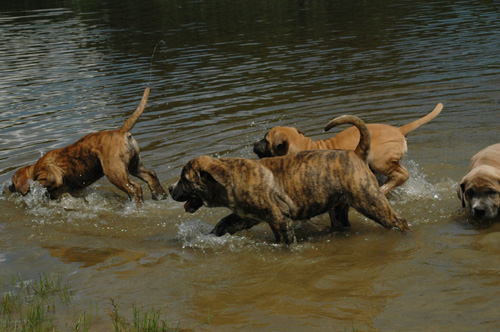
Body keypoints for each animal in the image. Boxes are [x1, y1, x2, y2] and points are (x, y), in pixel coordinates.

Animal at [9, 87, 168, 204]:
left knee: (134, 188)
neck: (33, 169)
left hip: (114, 172)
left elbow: (37, 183)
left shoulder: (51, 176)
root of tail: (121, 132)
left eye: (13, 181)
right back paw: (159, 195)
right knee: (150, 175)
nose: (9, 187)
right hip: (134, 164)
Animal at [170, 114, 408, 244]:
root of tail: (356, 153)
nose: (171, 189)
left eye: (184, 179)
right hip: (339, 210)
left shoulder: (279, 219)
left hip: (371, 203)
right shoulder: (245, 217)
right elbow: (221, 225)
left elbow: (284, 241)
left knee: (399, 221)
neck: (231, 176)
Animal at [254, 103, 442, 195]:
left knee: (403, 174)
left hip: (380, 161)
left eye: (265, 139)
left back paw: (384, 189)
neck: (303, 145)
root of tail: (399, 130)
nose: (254, 144)